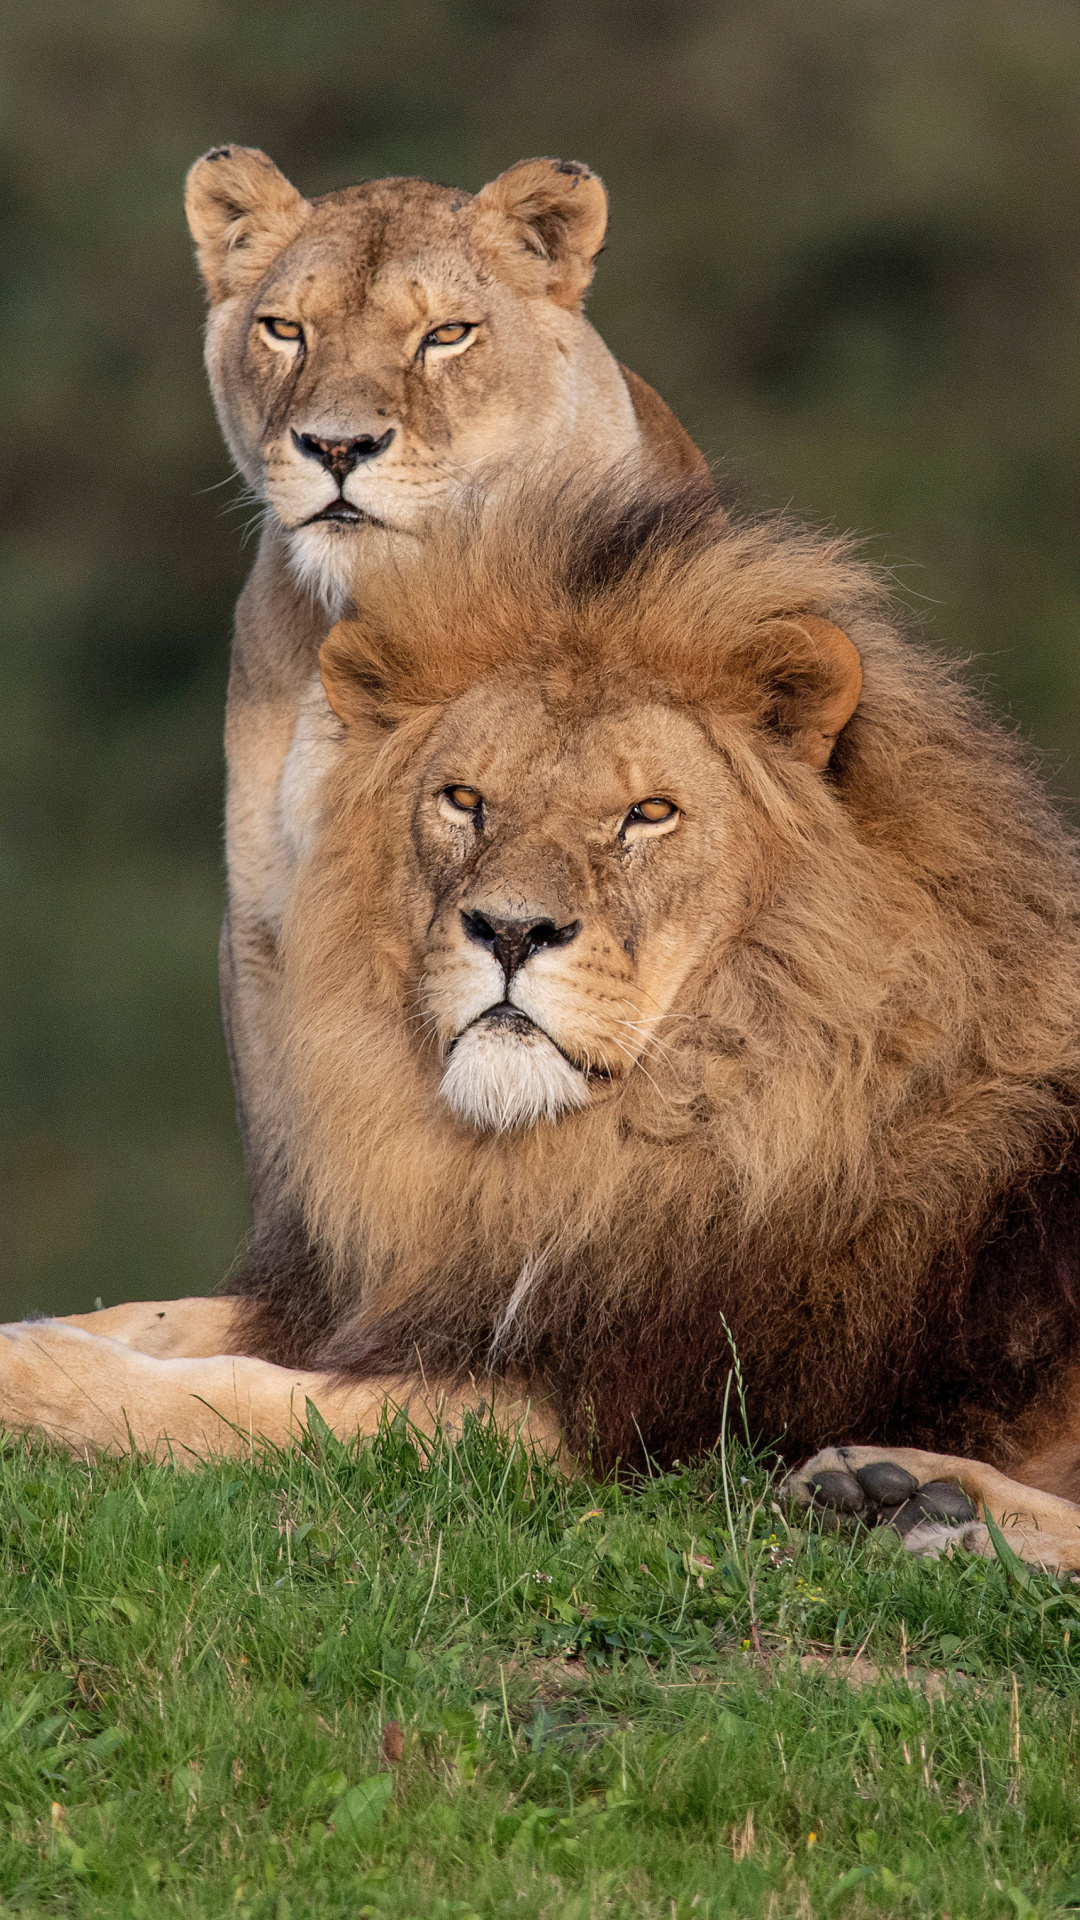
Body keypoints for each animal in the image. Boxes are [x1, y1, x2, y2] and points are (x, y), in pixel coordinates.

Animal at [14, 472, 1080, 1566]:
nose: (511, 929)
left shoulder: (574, 1414)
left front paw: (38, 1382)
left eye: (649, 814)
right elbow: (166, 1318)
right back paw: (890, 1496)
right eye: (464, 799)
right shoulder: (415, 1299)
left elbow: (239, 1399)